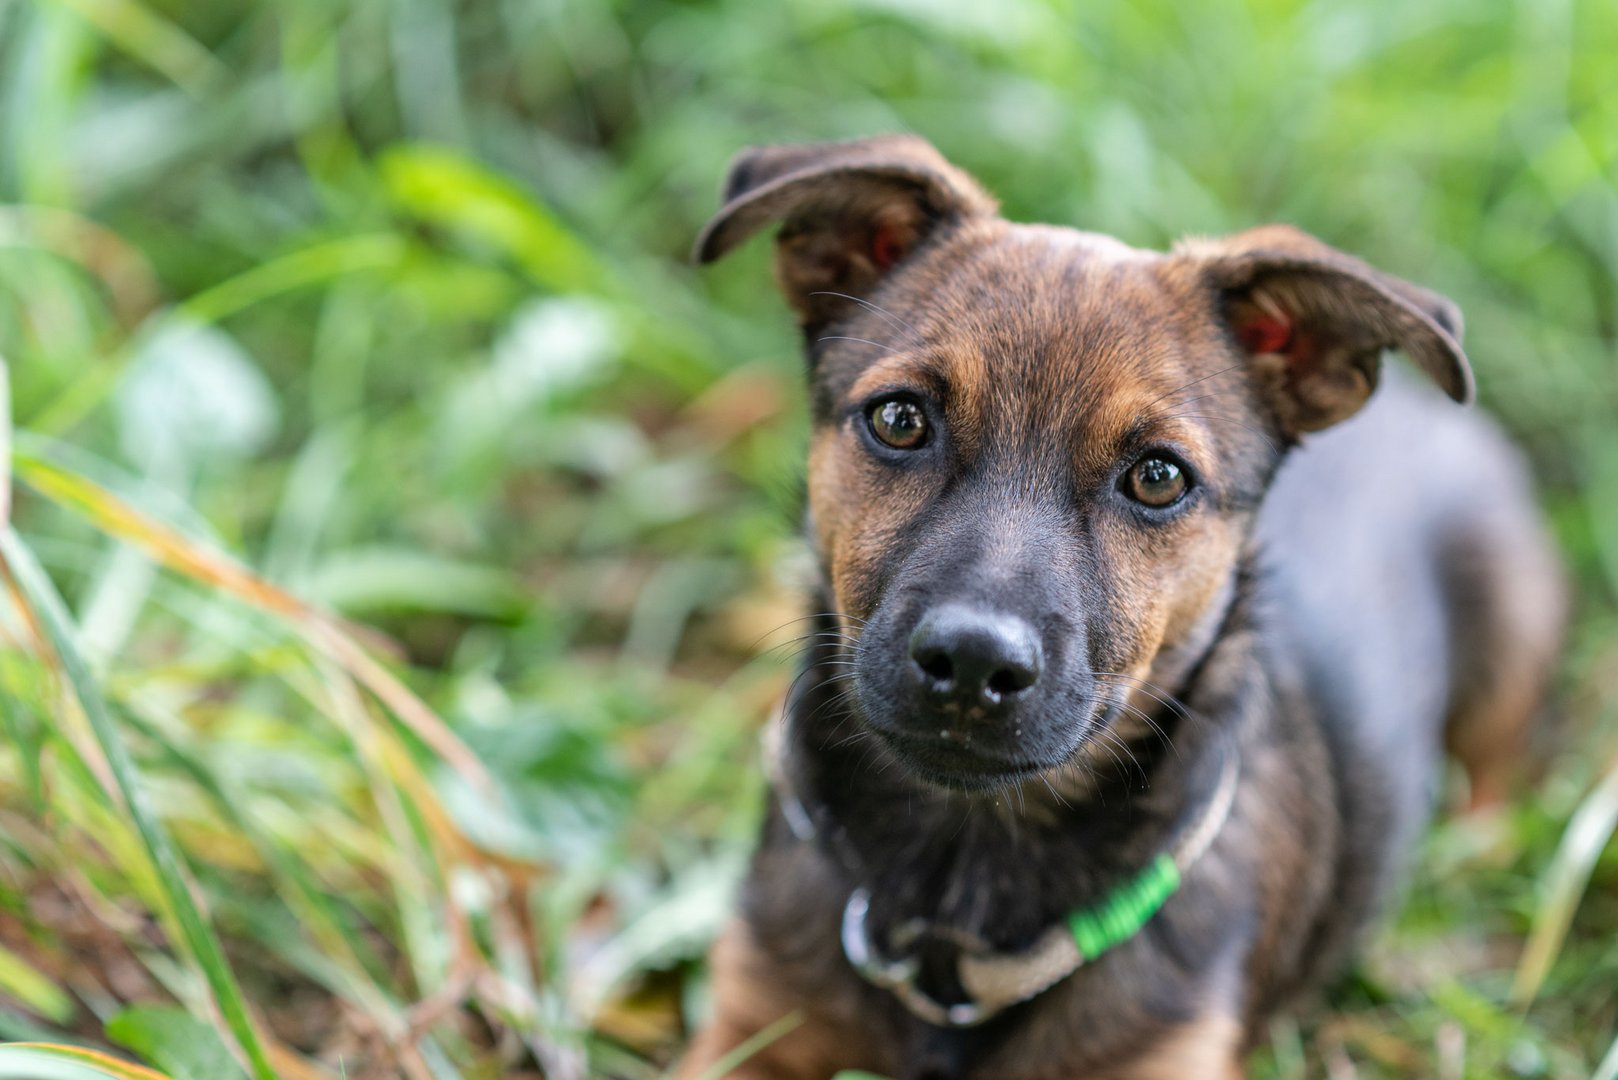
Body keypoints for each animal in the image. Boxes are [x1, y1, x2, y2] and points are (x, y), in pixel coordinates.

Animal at [679, 137, 1566, 1080]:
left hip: (1512, 623)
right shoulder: (749, 1020)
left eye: (1158, 476)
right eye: (898, 419)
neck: (963, 882)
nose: (973, 663)